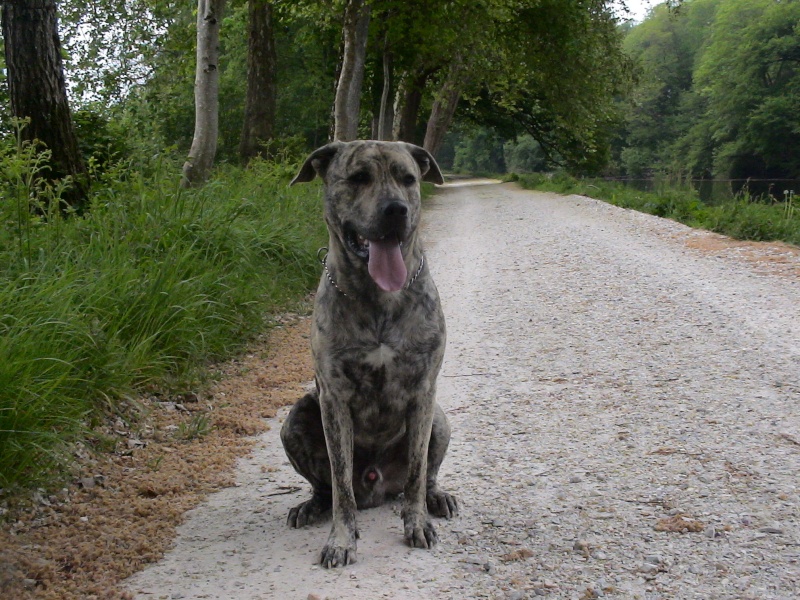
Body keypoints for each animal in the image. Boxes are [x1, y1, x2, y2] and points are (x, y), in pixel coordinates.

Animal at [280, 139, 456, 568]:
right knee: (326, 487)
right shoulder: (333, 397)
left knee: (426, 474)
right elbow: (341, 483)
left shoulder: (424, 393)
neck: (378, 296)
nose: (396, 210)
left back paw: (436, 497)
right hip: (296, 417)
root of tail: (377, 487)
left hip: (440, 419)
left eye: (408, 178)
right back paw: (311, 507)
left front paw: (417, 523)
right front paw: (341, 540)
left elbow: (416, 472)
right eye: (359, 177)